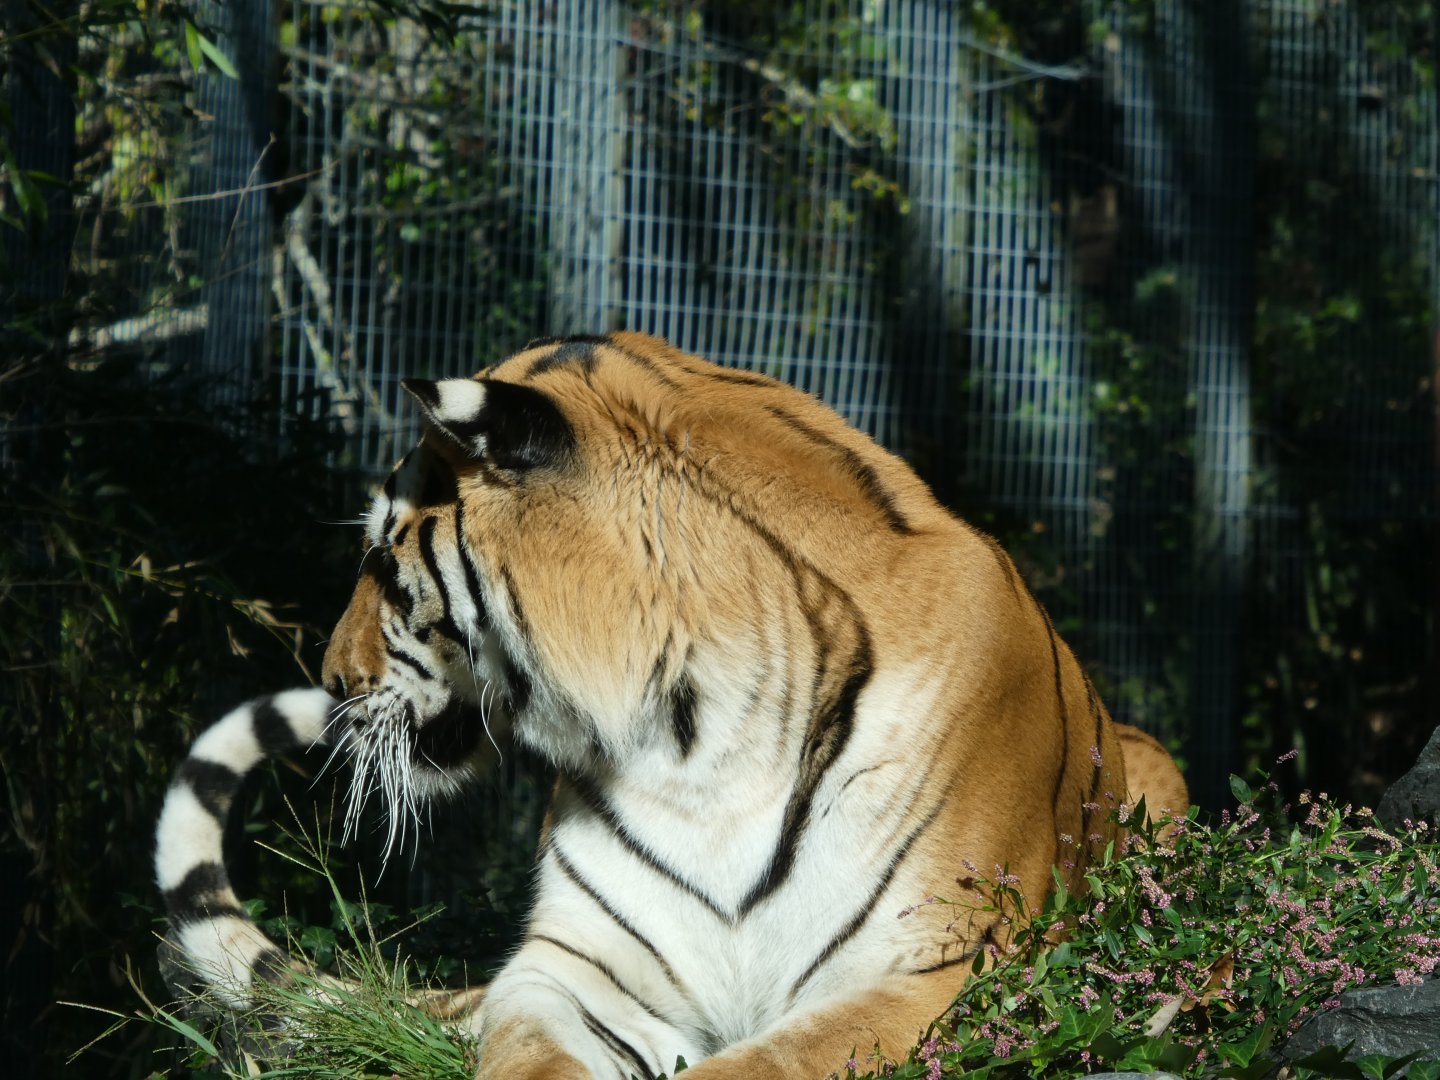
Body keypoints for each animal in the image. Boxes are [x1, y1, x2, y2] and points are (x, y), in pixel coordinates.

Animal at [154, 331, 1188, 1080]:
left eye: (381, 559)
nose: (331, 680)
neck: (705, 736)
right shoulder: (575, 969)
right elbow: (528, 1053)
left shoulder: (931, 968)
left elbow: (766, 1066)